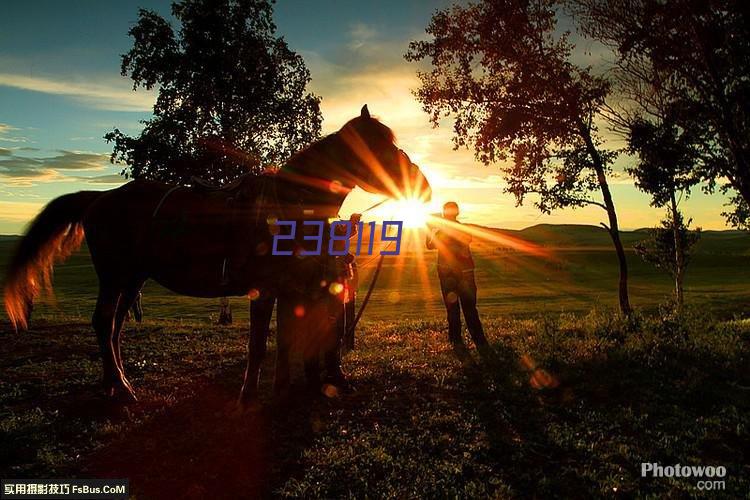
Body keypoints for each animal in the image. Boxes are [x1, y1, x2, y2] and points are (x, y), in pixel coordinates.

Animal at [2, 105, 432, 402]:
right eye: (381, 147)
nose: (423, 186)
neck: (288, 205)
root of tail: (99, 199)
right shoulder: (265, 289)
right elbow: (259, 344)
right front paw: (249, 395)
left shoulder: (287, 290)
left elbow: (284, 342)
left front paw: (281, 391)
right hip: (115, 276)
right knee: (103, 324)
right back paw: (121, 388)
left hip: (133, 279)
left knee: (114, 328)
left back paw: (116, 383)